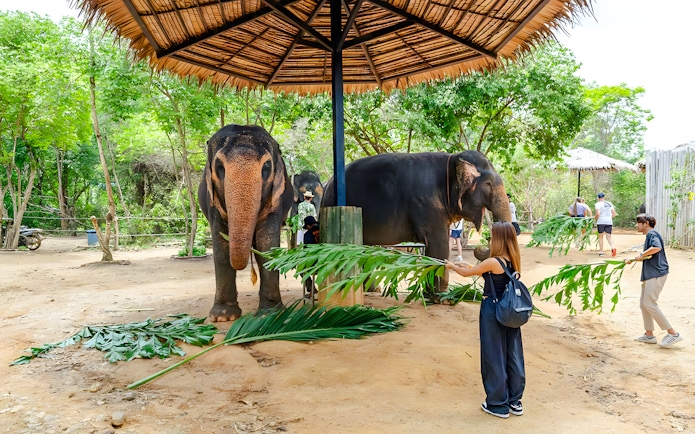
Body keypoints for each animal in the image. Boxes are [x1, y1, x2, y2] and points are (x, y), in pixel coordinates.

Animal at [198, 124, 294, 322]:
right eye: (219, 167)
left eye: (267, 166)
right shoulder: (212, 200)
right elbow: (221, 250)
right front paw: (223, 317)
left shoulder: (276, 198)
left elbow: (267, 247)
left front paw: (270, 314)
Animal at [321, 151, 511, 292]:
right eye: (488, 183)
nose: (480, 248)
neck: (452, 159)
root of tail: (328, 184)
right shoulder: (426, 203)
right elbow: (439, 244)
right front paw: (442, 298)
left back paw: (372, 290)